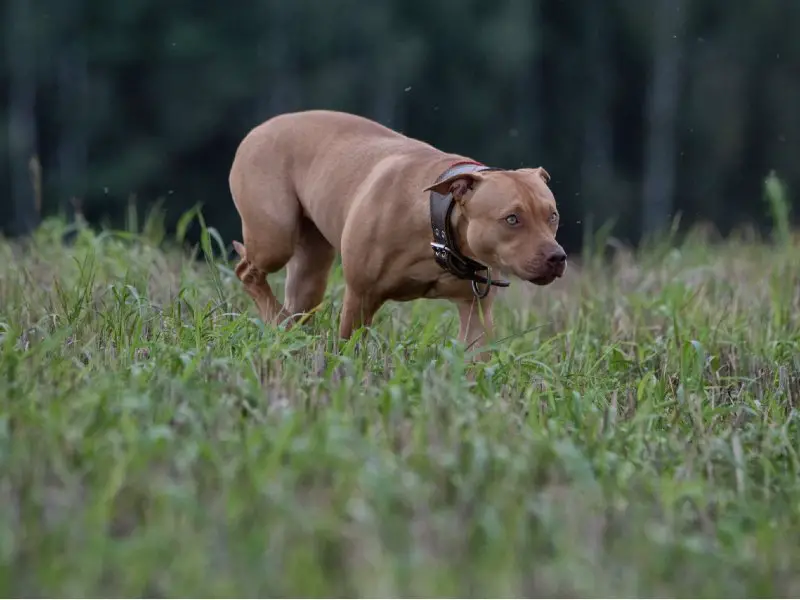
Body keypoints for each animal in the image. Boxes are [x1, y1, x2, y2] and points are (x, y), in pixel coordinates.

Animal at [230, 109, 568, 356]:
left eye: (552, 216)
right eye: (511, 219)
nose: (557, 257)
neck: (439, 233)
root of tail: (262, 127)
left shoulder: (476, 310)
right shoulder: (360, 295)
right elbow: (350, 346)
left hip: (310, 269)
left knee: (296, 298)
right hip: (275, 237)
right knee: (247, 270)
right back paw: (278, 321)